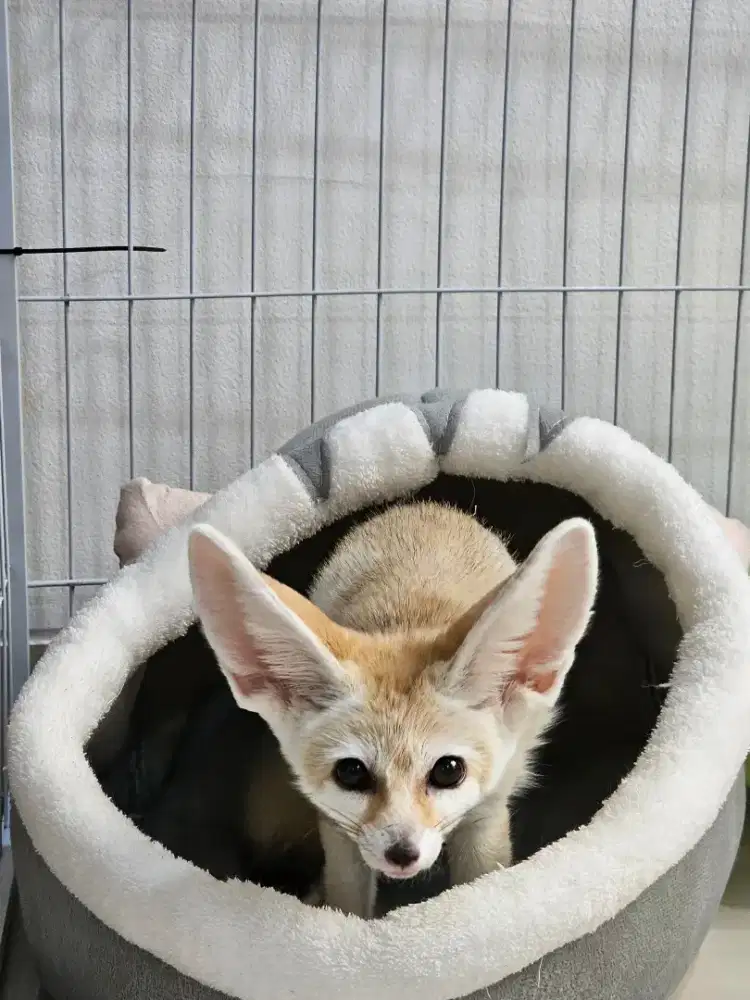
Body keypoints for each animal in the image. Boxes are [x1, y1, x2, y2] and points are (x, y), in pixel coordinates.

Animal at [187, 501, 598, 918]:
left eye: (449, 770)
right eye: (351, 772)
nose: (401, 854)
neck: (408, 619)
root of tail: (423, 506)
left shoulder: (488, 807)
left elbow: (478, 886)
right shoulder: (337, 825)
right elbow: (347, 902)